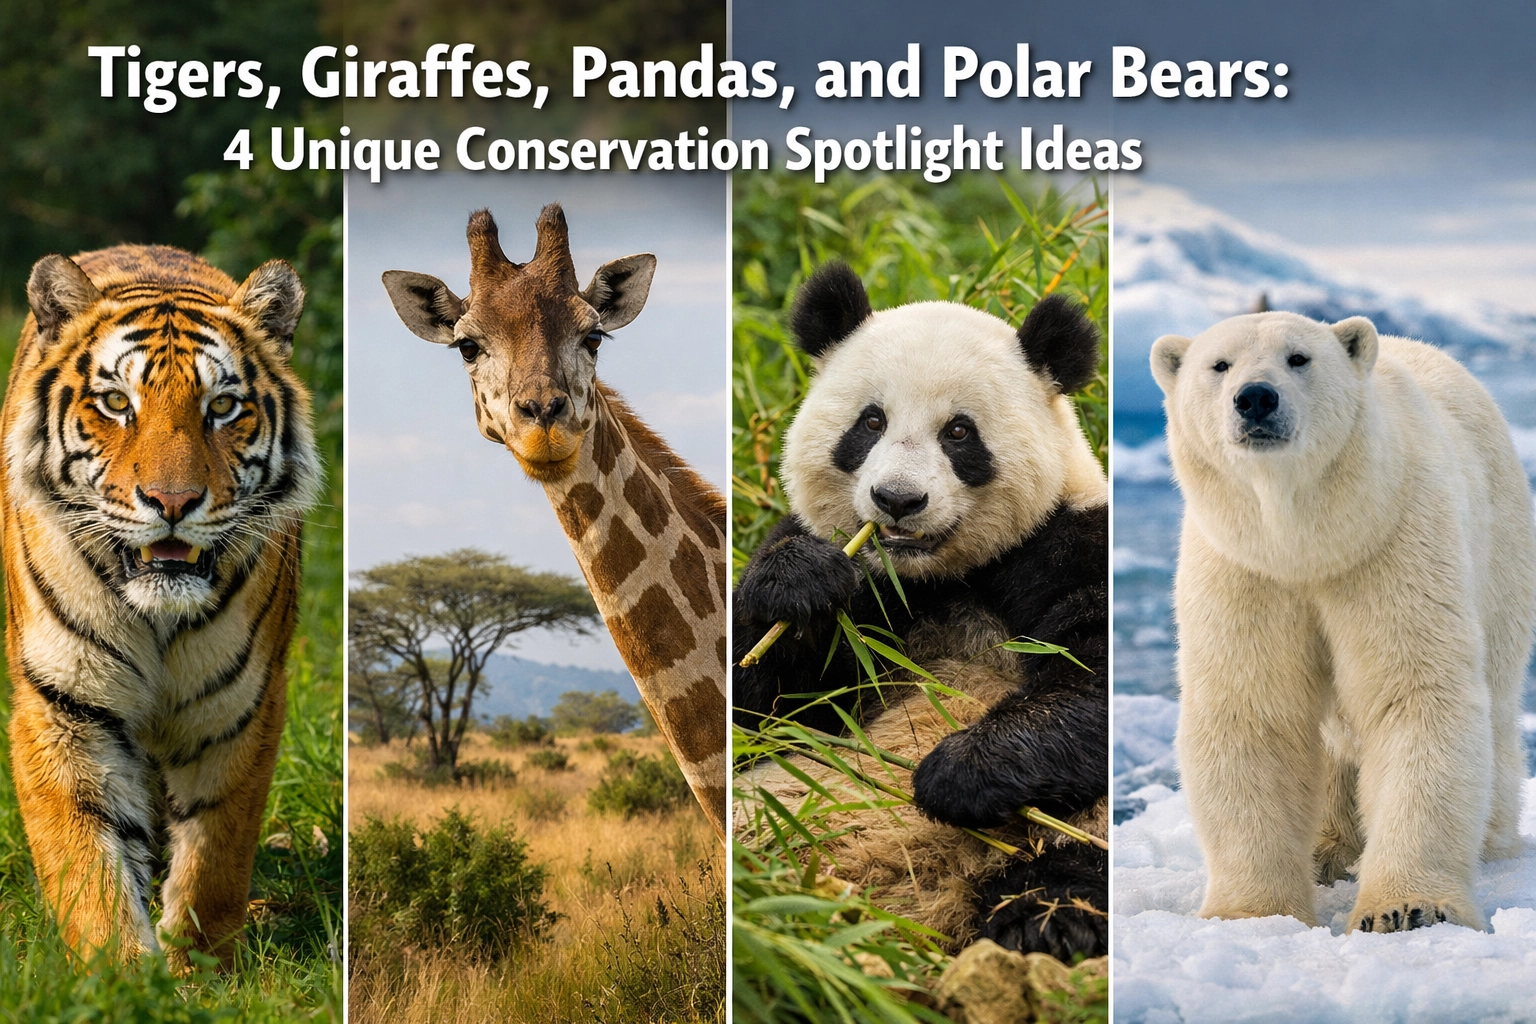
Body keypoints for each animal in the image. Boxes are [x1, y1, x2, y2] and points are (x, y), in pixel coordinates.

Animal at [0, 244, 321, 970]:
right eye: (117, 403)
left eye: (223, 406)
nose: (172, 502)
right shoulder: (63, 709)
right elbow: (88, 863)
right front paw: (121, 975)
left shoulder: (240, 710)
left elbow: (214, 859)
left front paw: (198, 970)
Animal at [1151, 310, 1536, 933]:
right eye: (1219, 364)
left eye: (1298, 358)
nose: (1255, 398)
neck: (1308, 543)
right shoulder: (1245, 570)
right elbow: (1255, 712)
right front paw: (1250, 915)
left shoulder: (1393, 543)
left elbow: (1412, 692)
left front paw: (1409, 909)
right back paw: (1327, 847)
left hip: (1500, 552)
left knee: (1496, 700)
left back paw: (1491, 839)